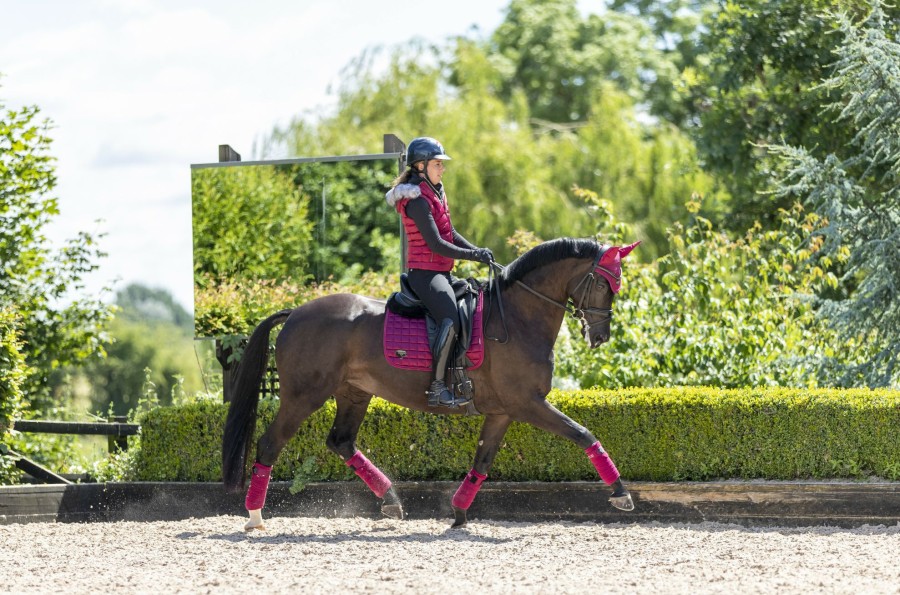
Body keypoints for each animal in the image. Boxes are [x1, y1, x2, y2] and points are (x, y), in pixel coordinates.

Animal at [221, 239, 636, 532]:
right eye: (604, 282)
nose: (600, 336)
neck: (518, 317)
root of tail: (296, 312)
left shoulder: (502, 412)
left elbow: (482, 461)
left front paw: (459, 513)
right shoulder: (527, 403)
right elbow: (583, 433)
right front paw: (621, 493)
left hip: (354, 393)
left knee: (340, 441)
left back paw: (390, 500)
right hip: (303, 396)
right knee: (270, 444)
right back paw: (255, 516)